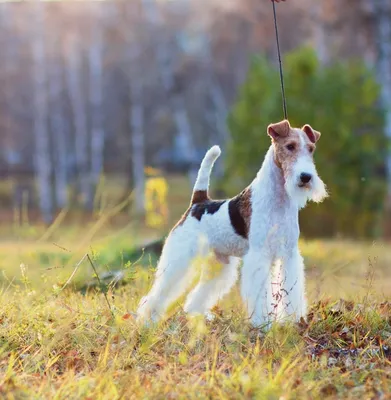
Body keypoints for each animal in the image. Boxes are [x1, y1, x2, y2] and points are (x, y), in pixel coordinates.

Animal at [137, 119, 328, 328]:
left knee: (198, 295)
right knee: (159, 292)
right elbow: (260, 294)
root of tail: (198, 201)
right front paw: (262, 323)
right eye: (290, 146)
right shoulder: (259, 255)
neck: (279, 200)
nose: (306, 177)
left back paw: (197, 315)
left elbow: (291, 290)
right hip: (180, 257)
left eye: (310, 149)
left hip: (219, 263)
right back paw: (148, 320)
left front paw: (294, 320)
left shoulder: (289, 254)